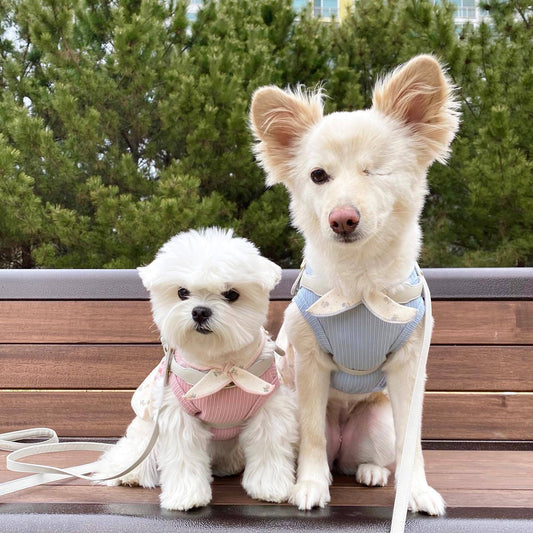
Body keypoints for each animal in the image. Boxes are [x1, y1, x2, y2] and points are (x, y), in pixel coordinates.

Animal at [93, 227, 298, 510]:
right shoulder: (178, 414)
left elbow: (269, 448)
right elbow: (183, 456)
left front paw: (270, 488)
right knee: (132, 452)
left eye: (231, 294)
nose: (200, 311)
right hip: (147, 429)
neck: (221, 367)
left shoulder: (268, 407)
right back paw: (128, 474)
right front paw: (186, 497)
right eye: (182, 292)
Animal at [249, 55, 458, 516]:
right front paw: (310, 485)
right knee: (326, 452)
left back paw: (372, 472)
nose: (342, 219)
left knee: (367, 458)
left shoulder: (409, 368)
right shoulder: (308, 365)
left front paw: (416, 491)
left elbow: (412, 443)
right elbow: (312, 435)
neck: (360, 286)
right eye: (318, 176)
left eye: (375, 170)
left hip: (377, 425)